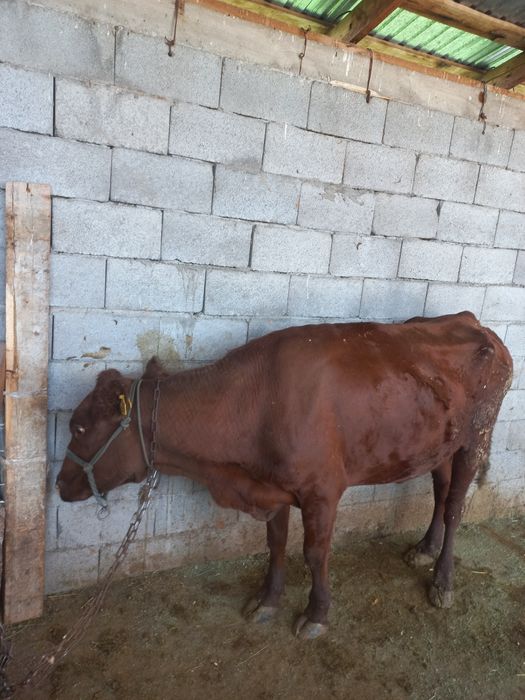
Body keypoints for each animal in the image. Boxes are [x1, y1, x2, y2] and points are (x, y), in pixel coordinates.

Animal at [57, 312, 513, 639]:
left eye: (77, 427)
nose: (59, 484)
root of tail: (474, 322)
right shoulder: (271, 487)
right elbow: (275, 544)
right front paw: (267, 601)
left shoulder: (322, 491)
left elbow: (314, 553)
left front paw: (317, 613)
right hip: (439, 442)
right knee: (440, 490)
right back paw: (424, 548)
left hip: (478, 434)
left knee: (455, 506)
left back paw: (443, 581)